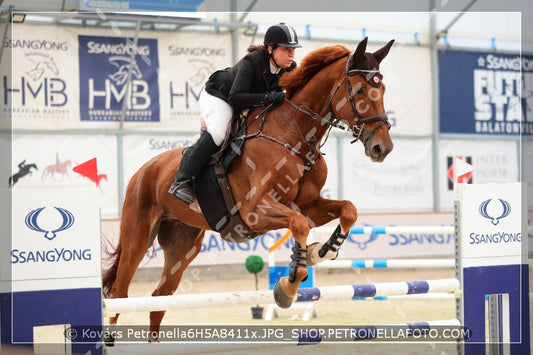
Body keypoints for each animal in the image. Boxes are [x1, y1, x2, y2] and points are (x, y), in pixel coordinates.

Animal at [104, 36, 392, 342]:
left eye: (383, 89)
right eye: (359, 90)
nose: (382, 148)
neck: (295, 134)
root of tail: (143, 170)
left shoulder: (307, 204)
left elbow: (348, 210)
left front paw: (322, 251)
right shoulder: (256, 211)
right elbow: (299, 225)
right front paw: (289, 287)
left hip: (183, 246)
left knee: (159, 299)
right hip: (137, 238)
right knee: (120, 294)